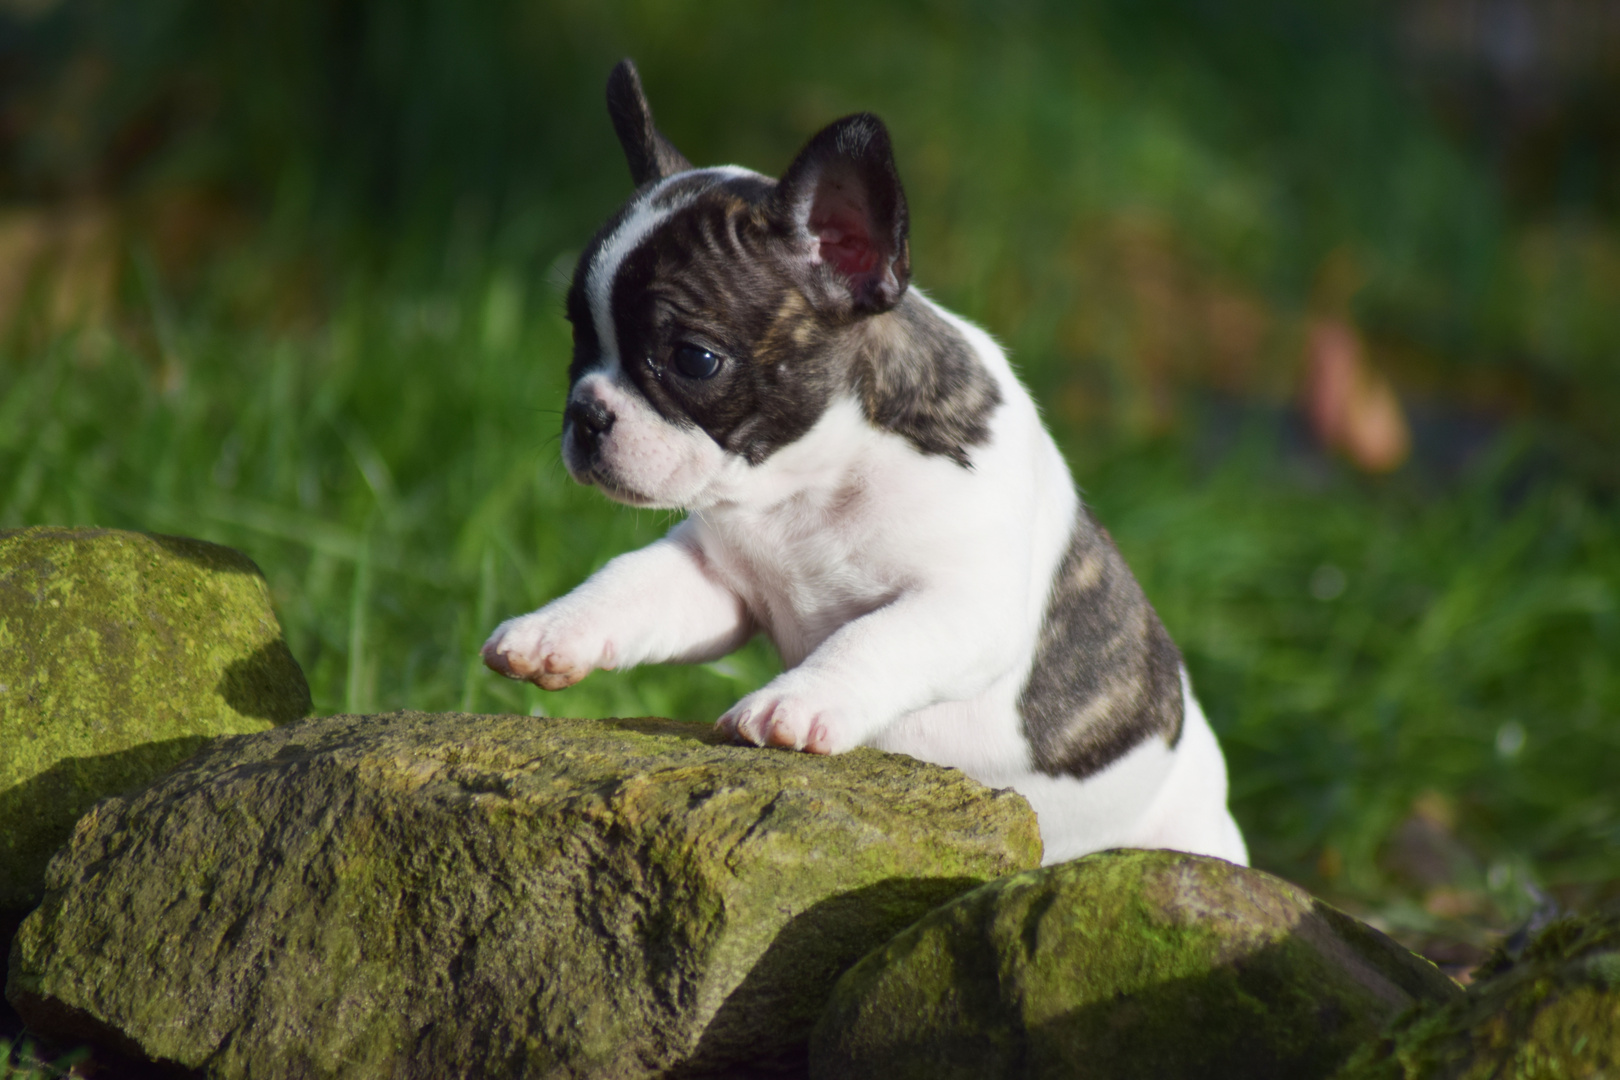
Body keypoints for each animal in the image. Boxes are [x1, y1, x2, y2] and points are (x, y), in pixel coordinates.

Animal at [482, 61, 1250, 867]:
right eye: (578, 340)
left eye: (694, 359)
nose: (586, 414)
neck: (810, 483)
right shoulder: (716, 580)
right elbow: (628, 581)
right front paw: (551, 630)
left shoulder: (965, 604)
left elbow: (873, 637)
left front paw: (793, 702)